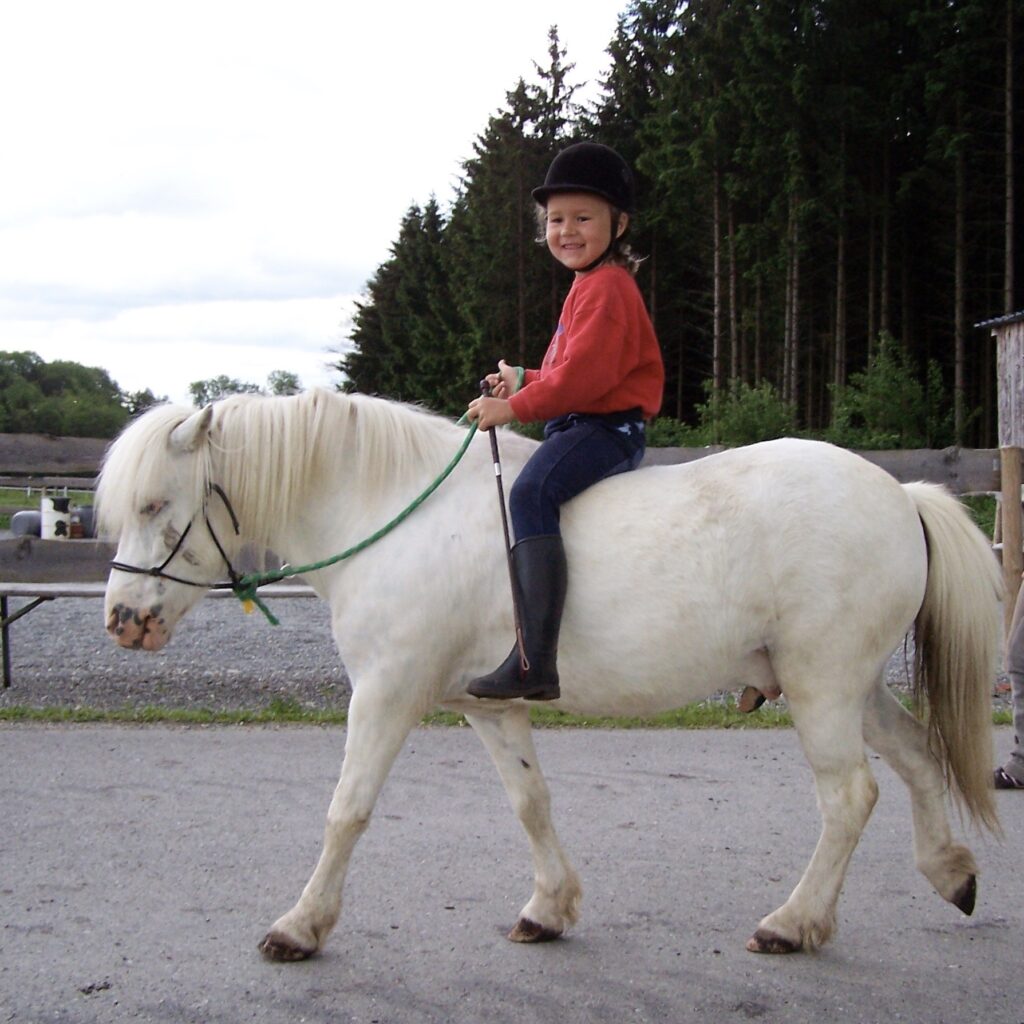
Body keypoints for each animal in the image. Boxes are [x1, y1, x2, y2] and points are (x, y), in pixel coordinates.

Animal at [96, 387, 1002, 961]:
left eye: (154, 505)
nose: (122, 621)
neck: (395, 511)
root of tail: (900, 493)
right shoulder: (488, 707)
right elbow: (530, 802)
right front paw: (549, 908)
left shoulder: (387, 693)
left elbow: (346, 812)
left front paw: (300, 926)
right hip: (854, 688)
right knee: (917, 757)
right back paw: (951, 873)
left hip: (822, 688)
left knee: (850, 797)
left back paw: (794, 922)